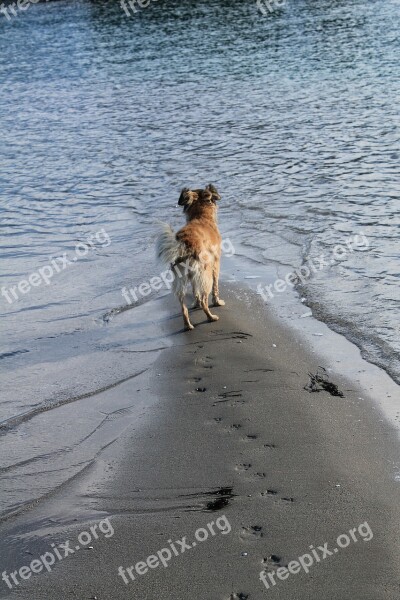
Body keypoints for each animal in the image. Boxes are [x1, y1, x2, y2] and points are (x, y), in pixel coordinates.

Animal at [156, 185, 225, 330]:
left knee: (183, 306)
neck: (201, 216)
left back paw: (188, 325)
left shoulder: (193, 276)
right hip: (205, 273)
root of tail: (185, 243)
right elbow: (215, 287)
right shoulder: (216, 263)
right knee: (205, 299)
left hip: (180, 279)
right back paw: (211, 317)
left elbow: (195, 291)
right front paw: (217, 302)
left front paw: (195, 303)